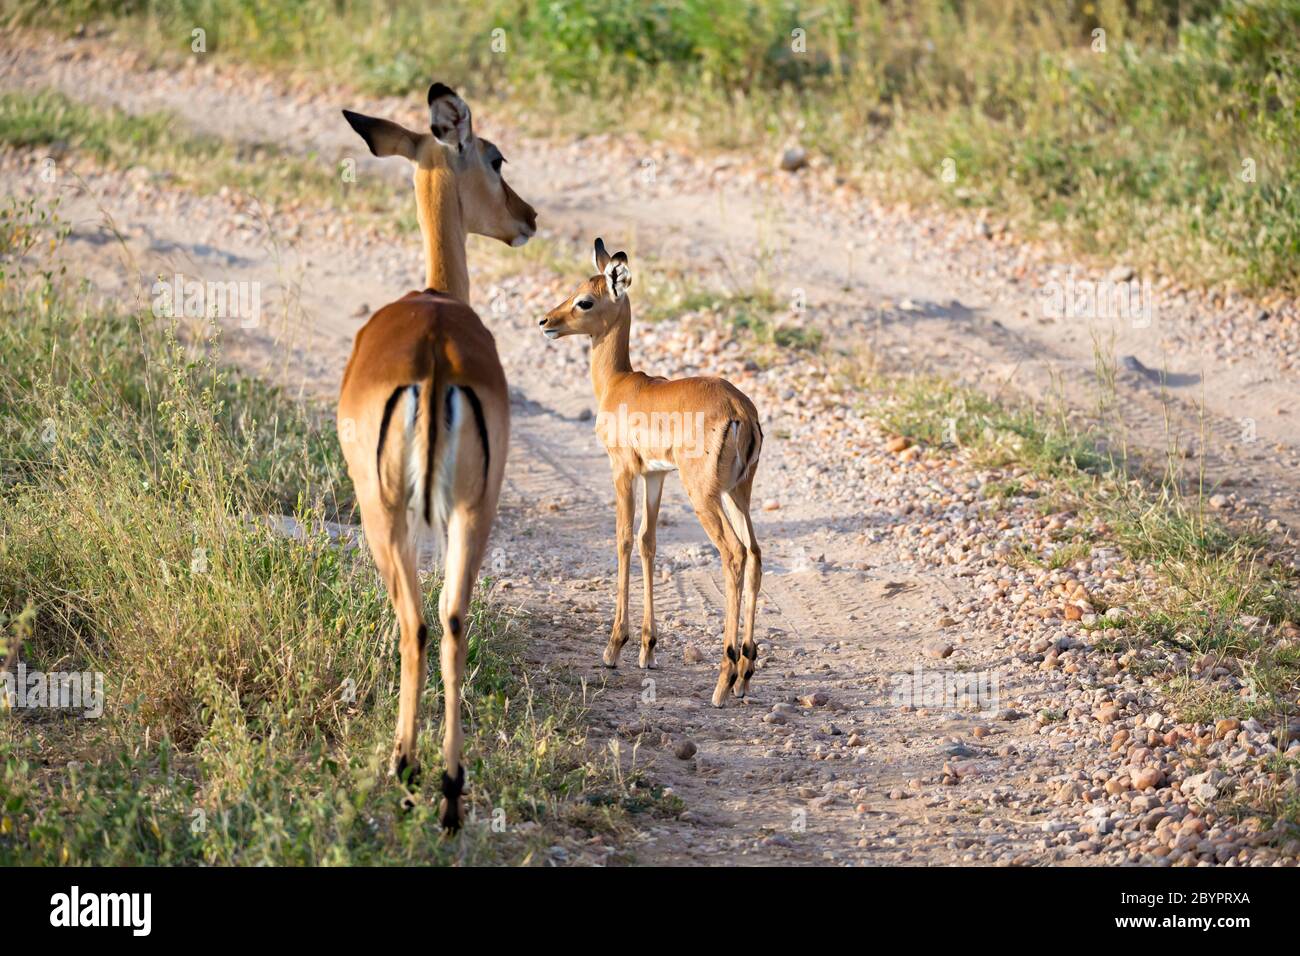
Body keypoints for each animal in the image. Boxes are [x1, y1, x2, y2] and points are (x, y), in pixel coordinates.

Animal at [338, 83, 536, 830]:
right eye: (496, 158)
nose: (527, 216)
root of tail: (433, 358)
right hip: (471, 512)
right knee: (450, 620)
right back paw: (449, 789)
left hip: (388, 511)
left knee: (416, 622)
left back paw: (408, 770)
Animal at [540, 241, 763, 707]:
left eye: (584, 300)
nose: (546, 321)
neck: (620, 384)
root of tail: (741, 411)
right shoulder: (655, 476)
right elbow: (648, 542)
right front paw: (647, 648)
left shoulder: (622, 469)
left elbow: (624, 539)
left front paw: (614, 647)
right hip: (738, 493)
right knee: (754, 554)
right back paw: (745, 674)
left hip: (705, 496)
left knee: (733, 554)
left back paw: (723, 679)